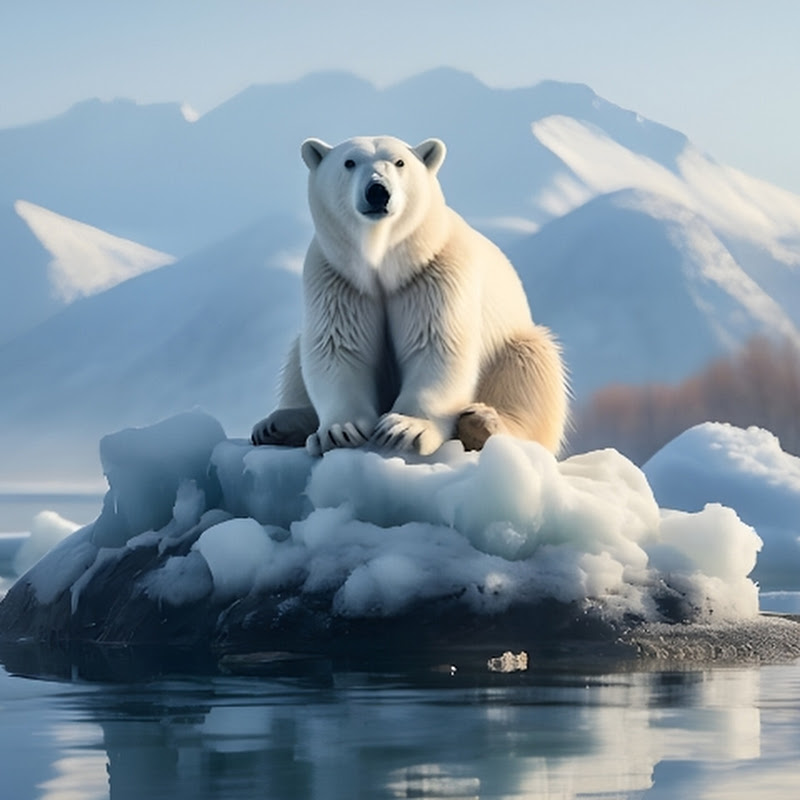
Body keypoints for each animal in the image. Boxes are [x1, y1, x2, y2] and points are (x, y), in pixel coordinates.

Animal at [251, 135, 568, 457]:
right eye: (349, 162)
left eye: (399, 162)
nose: (377, 191)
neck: (383, 263)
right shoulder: (338, 279)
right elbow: (338, 347)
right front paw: (341, 431)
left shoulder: (434, 273)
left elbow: (435, 343)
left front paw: (403, 428)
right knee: (298, 353)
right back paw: (276, 424)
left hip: (512, 345)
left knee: (529, 370)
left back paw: (482, 422)